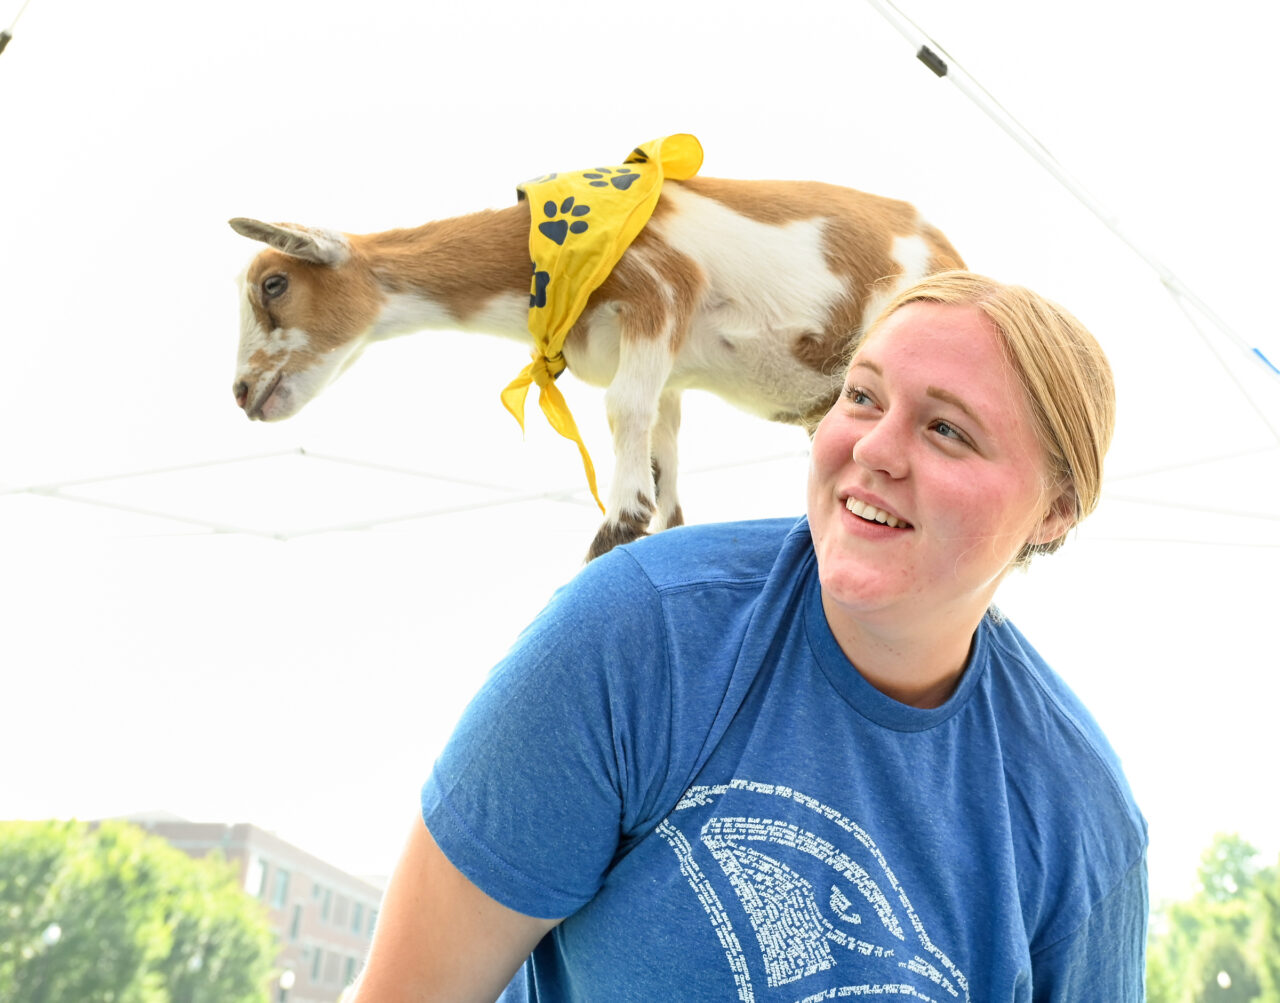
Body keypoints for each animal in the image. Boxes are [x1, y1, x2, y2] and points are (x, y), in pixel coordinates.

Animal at [230, 175, 964, 559]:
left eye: (274, 284)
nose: (240, 391)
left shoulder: (659, 289)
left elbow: (621, 414)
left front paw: (612, 531)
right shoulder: (669, 371)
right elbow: (664, 473)